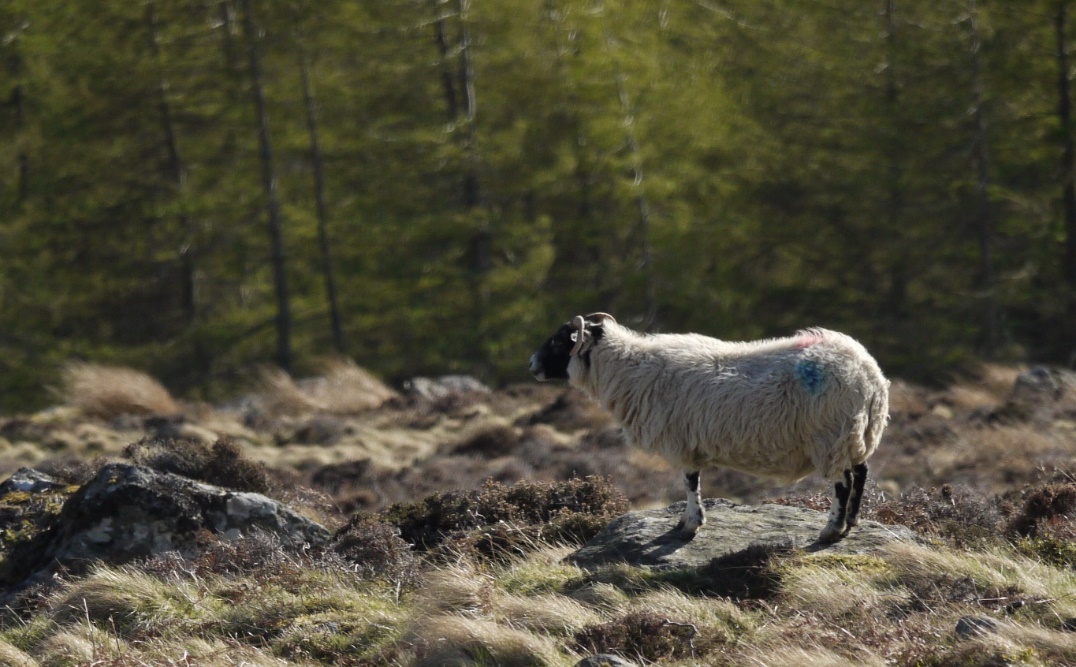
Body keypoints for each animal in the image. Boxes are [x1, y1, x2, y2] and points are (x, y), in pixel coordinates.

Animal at [529, 311, 890, 542]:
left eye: (561, 340)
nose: (531, 364)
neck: (628, 369)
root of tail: (870, 375)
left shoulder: (681, 442)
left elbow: (690, 483)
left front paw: (691, 524)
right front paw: (686, 521)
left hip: (830, 437)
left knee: (843, 482)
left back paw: (832, 529)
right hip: (856, 435)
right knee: (861, 472)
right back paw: (852, 521)